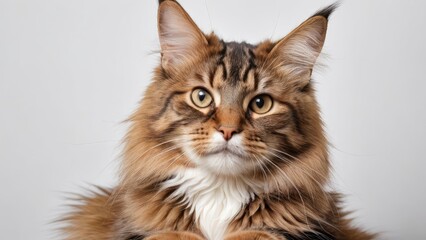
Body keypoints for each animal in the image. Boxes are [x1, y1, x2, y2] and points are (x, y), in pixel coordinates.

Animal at [60, 0, 376, 240]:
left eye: (261, 104)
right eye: (201, 97)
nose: (227, 130)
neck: (220, 193)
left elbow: (257, 234)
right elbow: (173, 235)